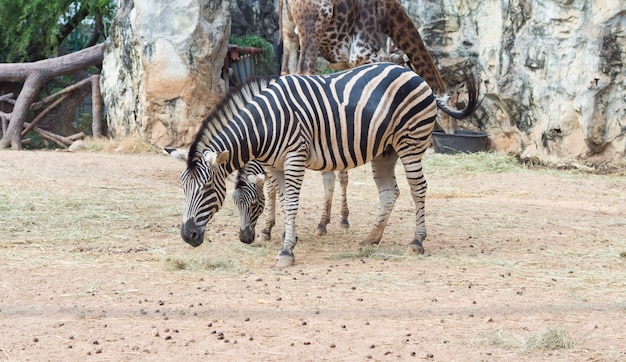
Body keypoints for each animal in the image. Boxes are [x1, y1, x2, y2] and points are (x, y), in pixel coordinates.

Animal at [176, 61, 478, 266]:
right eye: (184, 190)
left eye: (207, 190)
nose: (187, 236)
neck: (265, 123)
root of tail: (413, 73)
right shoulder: (274, 165)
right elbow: (282, 198)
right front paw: (286, 236)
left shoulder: (294, 157)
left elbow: (290, 202)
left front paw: (285, 248)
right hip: (386, 150)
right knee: (389, 192)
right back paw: (371, 238)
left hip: (410, 143)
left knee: (418, 189)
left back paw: (416, 242)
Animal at [276, 0, 444, 94]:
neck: (386, 13)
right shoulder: (363, 54)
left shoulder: (347, 61)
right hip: (315, 25)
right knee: (305, 71)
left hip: (289, 33)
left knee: (286, 72)